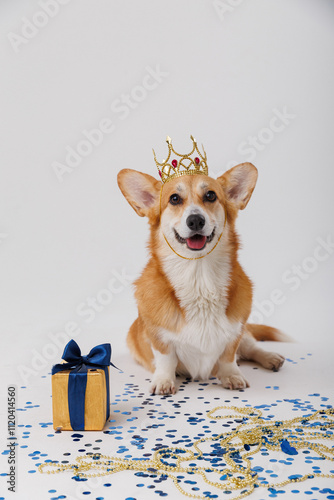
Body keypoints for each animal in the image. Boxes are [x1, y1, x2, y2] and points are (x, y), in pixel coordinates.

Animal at [117, 143, 284, 396]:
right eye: (174, 199)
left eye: (210, 195)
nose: (195, 220)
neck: (199, 277)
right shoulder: (158, 337)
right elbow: (166, 358)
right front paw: (164, 381)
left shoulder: (235, 332)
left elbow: (229, 356)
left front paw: (232, 376)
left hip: (246, 333)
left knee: (251, 346)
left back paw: (271, 357)